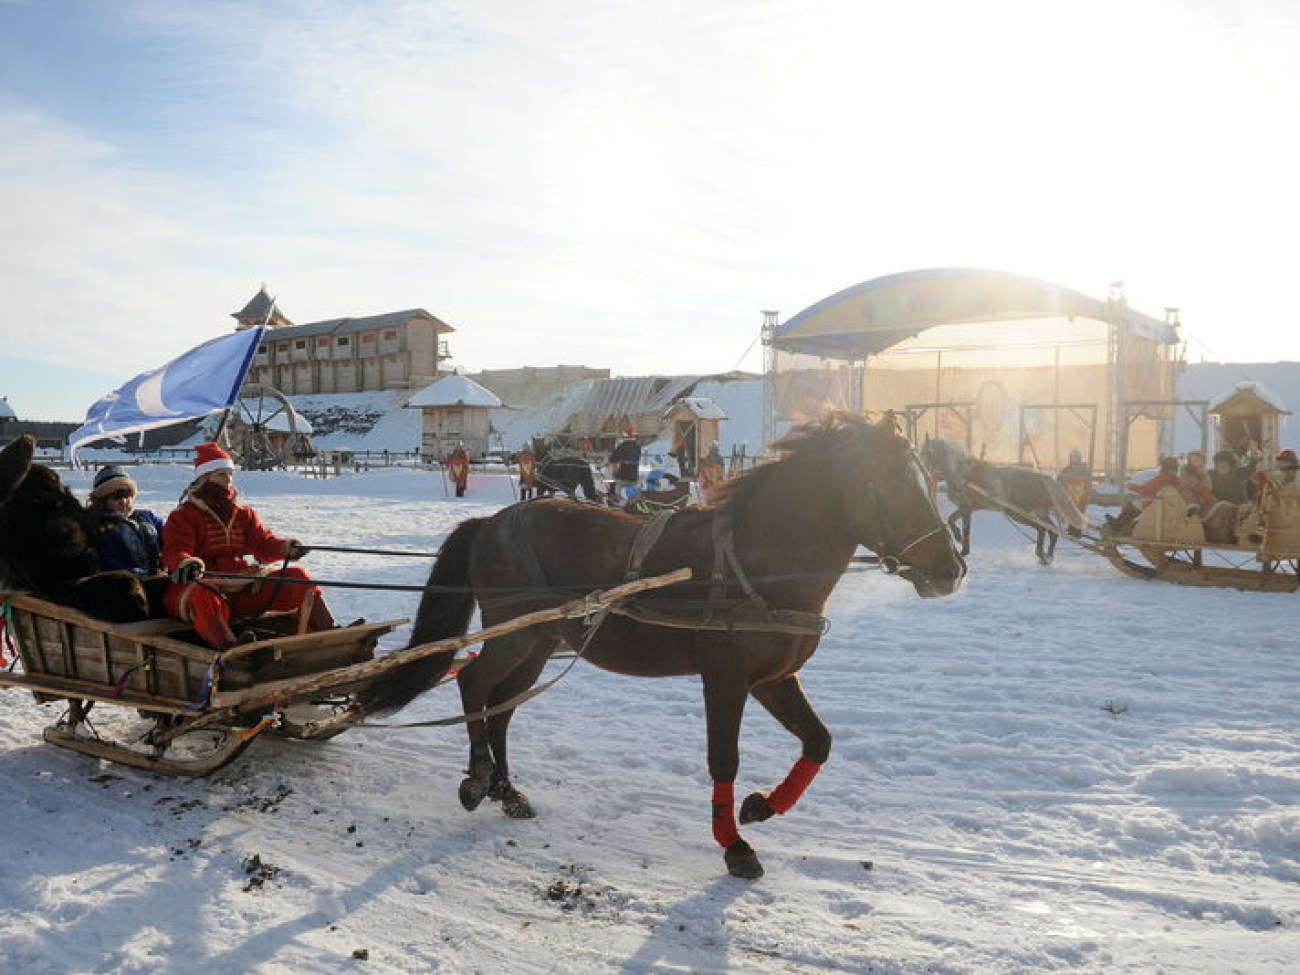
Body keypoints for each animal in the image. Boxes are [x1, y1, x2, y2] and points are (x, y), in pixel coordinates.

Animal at [356, 416, 967, 883]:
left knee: (502, 707)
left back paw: (507, 792)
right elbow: (724, 758)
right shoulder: (725, 677)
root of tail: (493, 520)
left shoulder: (774, 678)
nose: (950, 569)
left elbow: (819, 742)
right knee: (474, 685)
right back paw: (479, 779)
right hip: (513, 633)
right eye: (894, 488)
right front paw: (734, 843)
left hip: (542, 640)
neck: (761, 562)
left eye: (929, 481)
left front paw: (761, 807)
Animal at [920, 441, 1092, 569]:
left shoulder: (965, 507)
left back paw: (1041, 554)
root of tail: (1041, 476)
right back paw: (1048, 556)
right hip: (1038, 512)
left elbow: (954, 522)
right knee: (1052, 531)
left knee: (1042, 529)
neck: (960, 472)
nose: (920, 470)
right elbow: (959, 525)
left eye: (923, 453)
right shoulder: (969, 508)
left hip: (1018, 514)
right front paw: (963, 547)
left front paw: (959, 539)